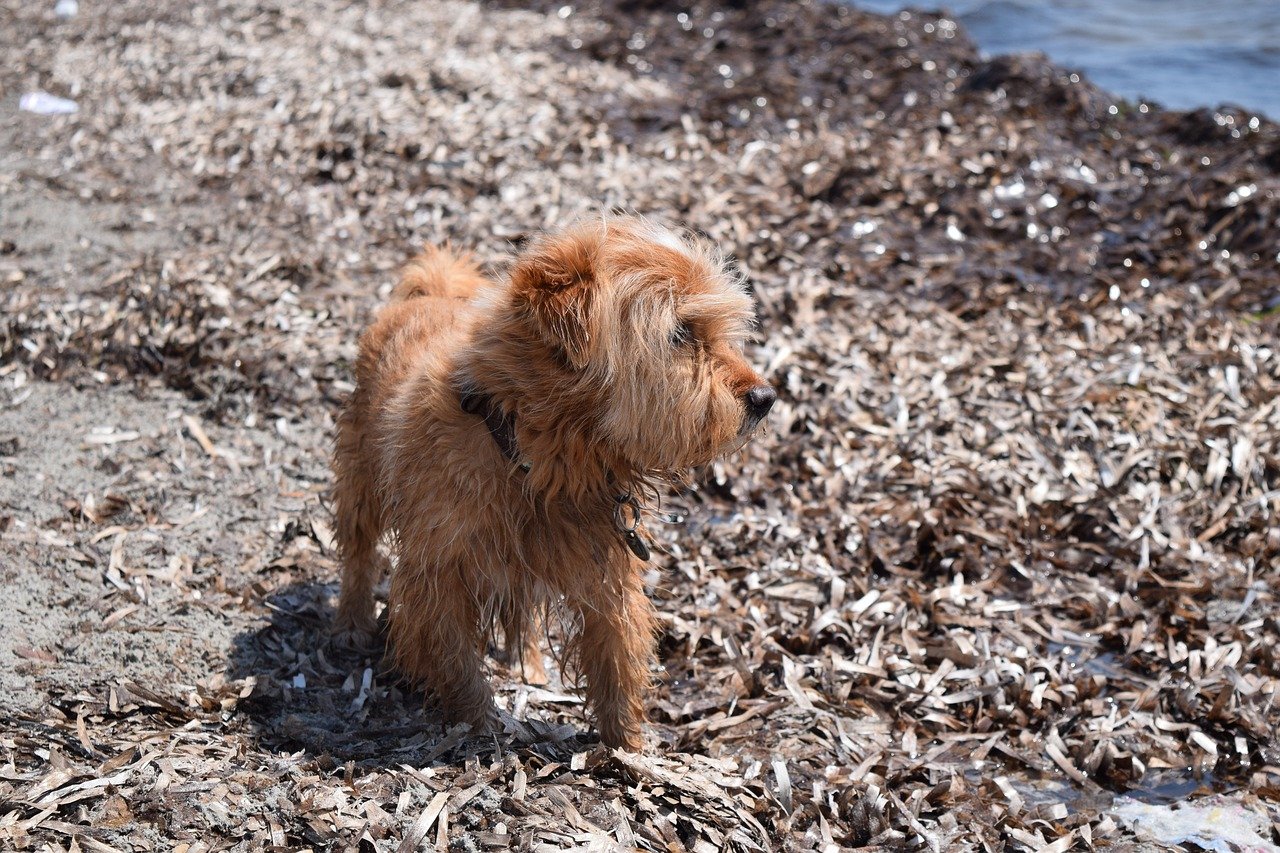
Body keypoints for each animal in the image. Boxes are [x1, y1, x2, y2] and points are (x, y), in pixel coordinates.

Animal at [330, 216, 773, 747]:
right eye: (681, 333)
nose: (766, 397)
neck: (538, 458)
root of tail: (428, 295)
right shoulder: (438, 579)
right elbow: (456, 662)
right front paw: (481, 726)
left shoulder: (607, 575)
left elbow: (617, 661)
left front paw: (629, 749)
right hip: (360, 477)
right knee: (358, 549)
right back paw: (351, 620)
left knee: (522, 613)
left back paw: (530, 663)